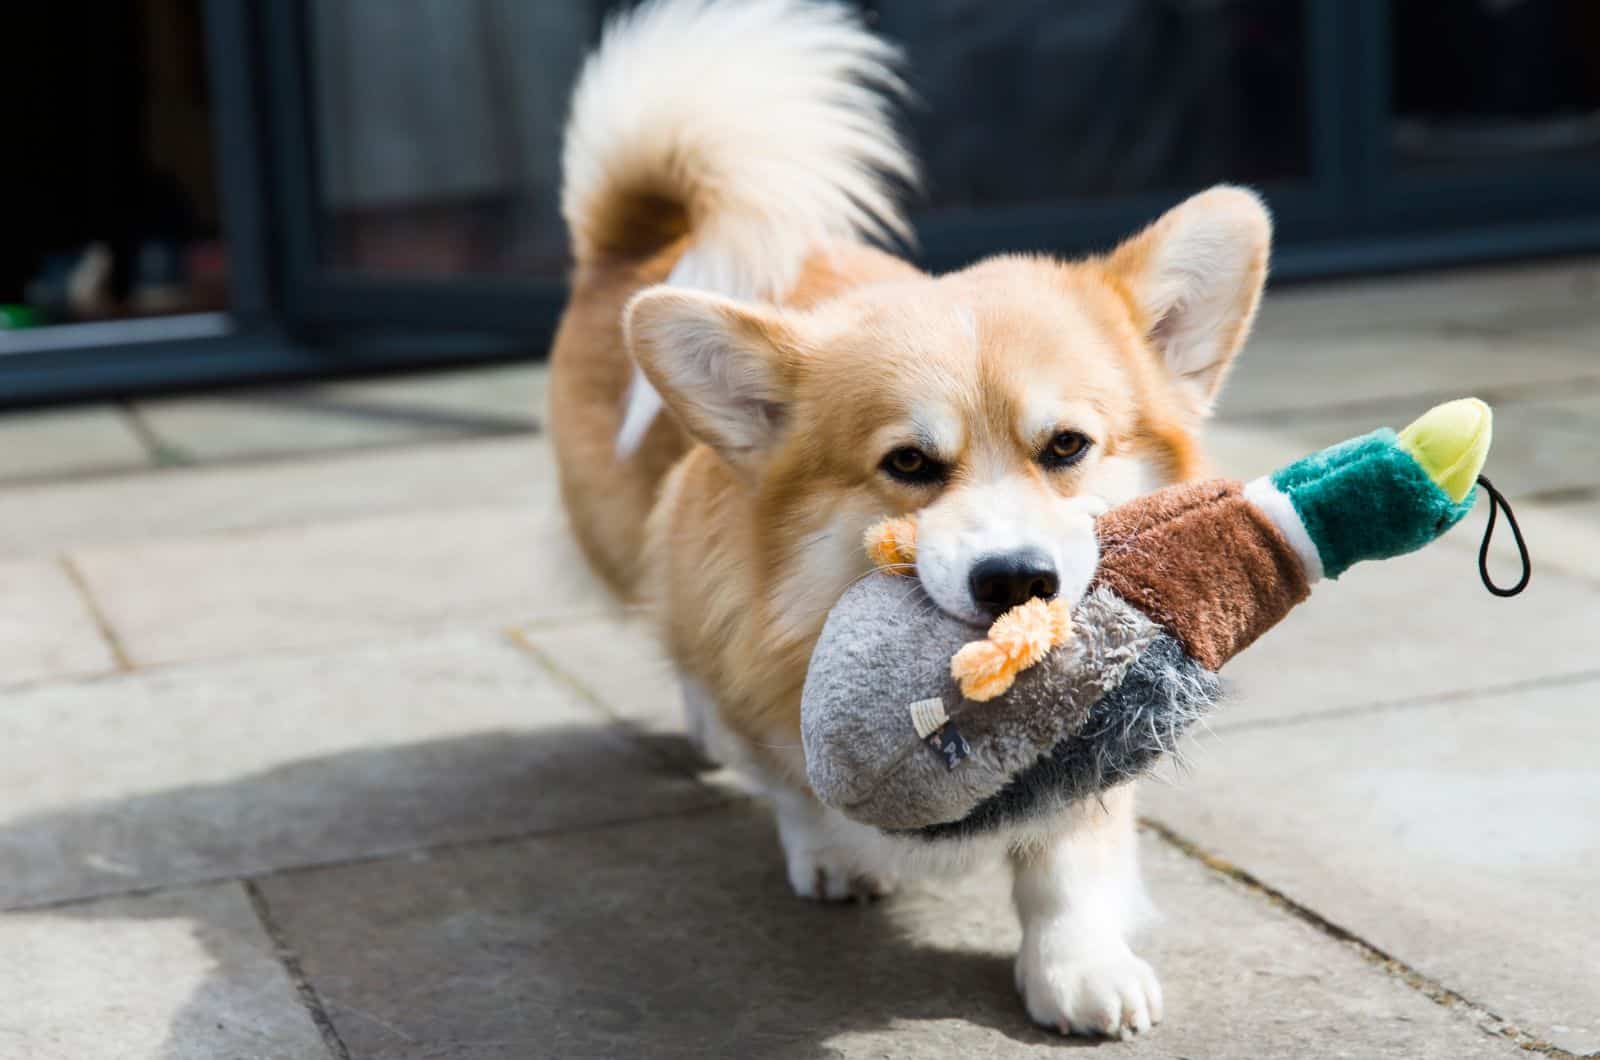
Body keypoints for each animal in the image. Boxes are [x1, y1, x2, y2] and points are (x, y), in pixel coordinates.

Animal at [544, 0, 1267, 1037]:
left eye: (1068, 447)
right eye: (910, 465)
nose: (1017, 582)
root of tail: (641, 235)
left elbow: (1069, 854)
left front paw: (1078, 965)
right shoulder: (744, 636)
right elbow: (789, 776)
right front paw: (830, 851)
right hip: (629, 542)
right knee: (682, 650)